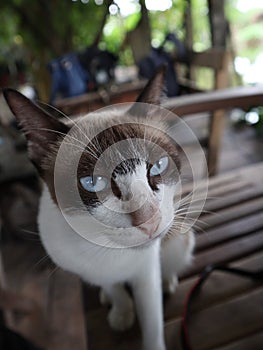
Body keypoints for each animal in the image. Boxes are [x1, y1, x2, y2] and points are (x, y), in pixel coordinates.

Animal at [2, 67, 196, 350]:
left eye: (158, 166)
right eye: (93, 183)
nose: (149, 220)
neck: (107, 250)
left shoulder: (146, 271)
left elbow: (151, 322)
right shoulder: (88, 269)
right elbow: (114, 288)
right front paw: (121, 312)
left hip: (180, 239)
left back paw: (167, 281)